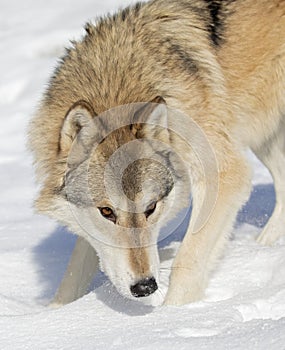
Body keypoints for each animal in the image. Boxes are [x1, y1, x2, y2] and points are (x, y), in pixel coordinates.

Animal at [28, 0, 284, 306]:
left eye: (151, 208)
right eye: (106, 211)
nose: (145, 287)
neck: (117, 82)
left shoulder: (224, 175)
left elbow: (187, 260)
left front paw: (170, 315)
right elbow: (73, 273)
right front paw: (54, 312)